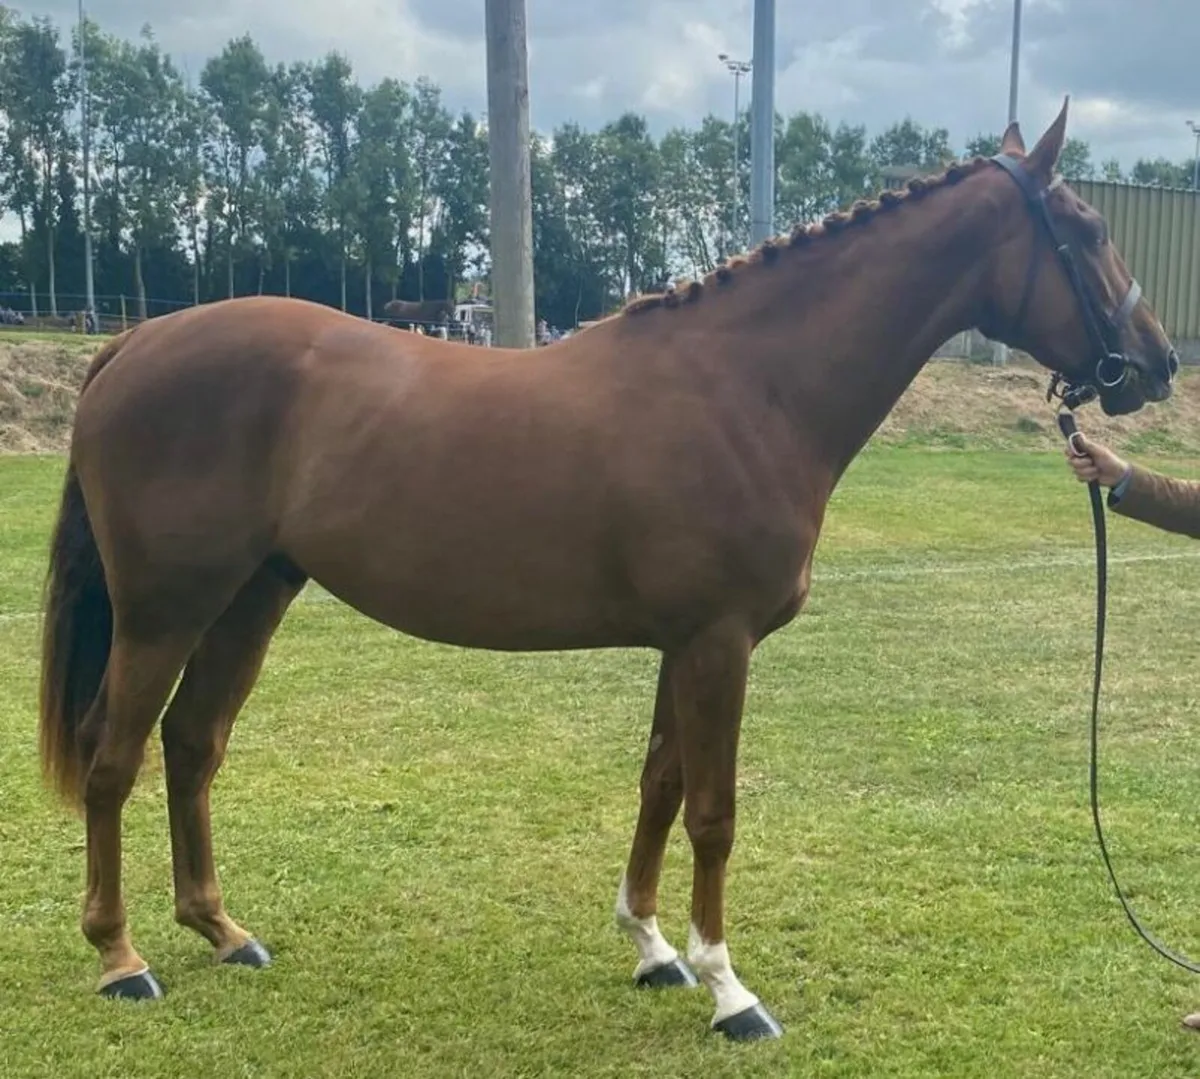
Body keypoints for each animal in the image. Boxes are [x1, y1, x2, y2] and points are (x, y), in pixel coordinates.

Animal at [37, 101, 1177, 1039]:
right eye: (1085, 231)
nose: (1157, 363)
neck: (748, 387)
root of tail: (132, 344)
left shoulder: (688, 642)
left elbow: (661, 782)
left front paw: (654, 946)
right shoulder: (719, 642)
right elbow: (713, 810)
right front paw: (730, 988)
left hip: (251, 596)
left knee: (192, 744)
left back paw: (223, 930)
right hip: (164, 610)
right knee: (112, 755)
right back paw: (122, 957)